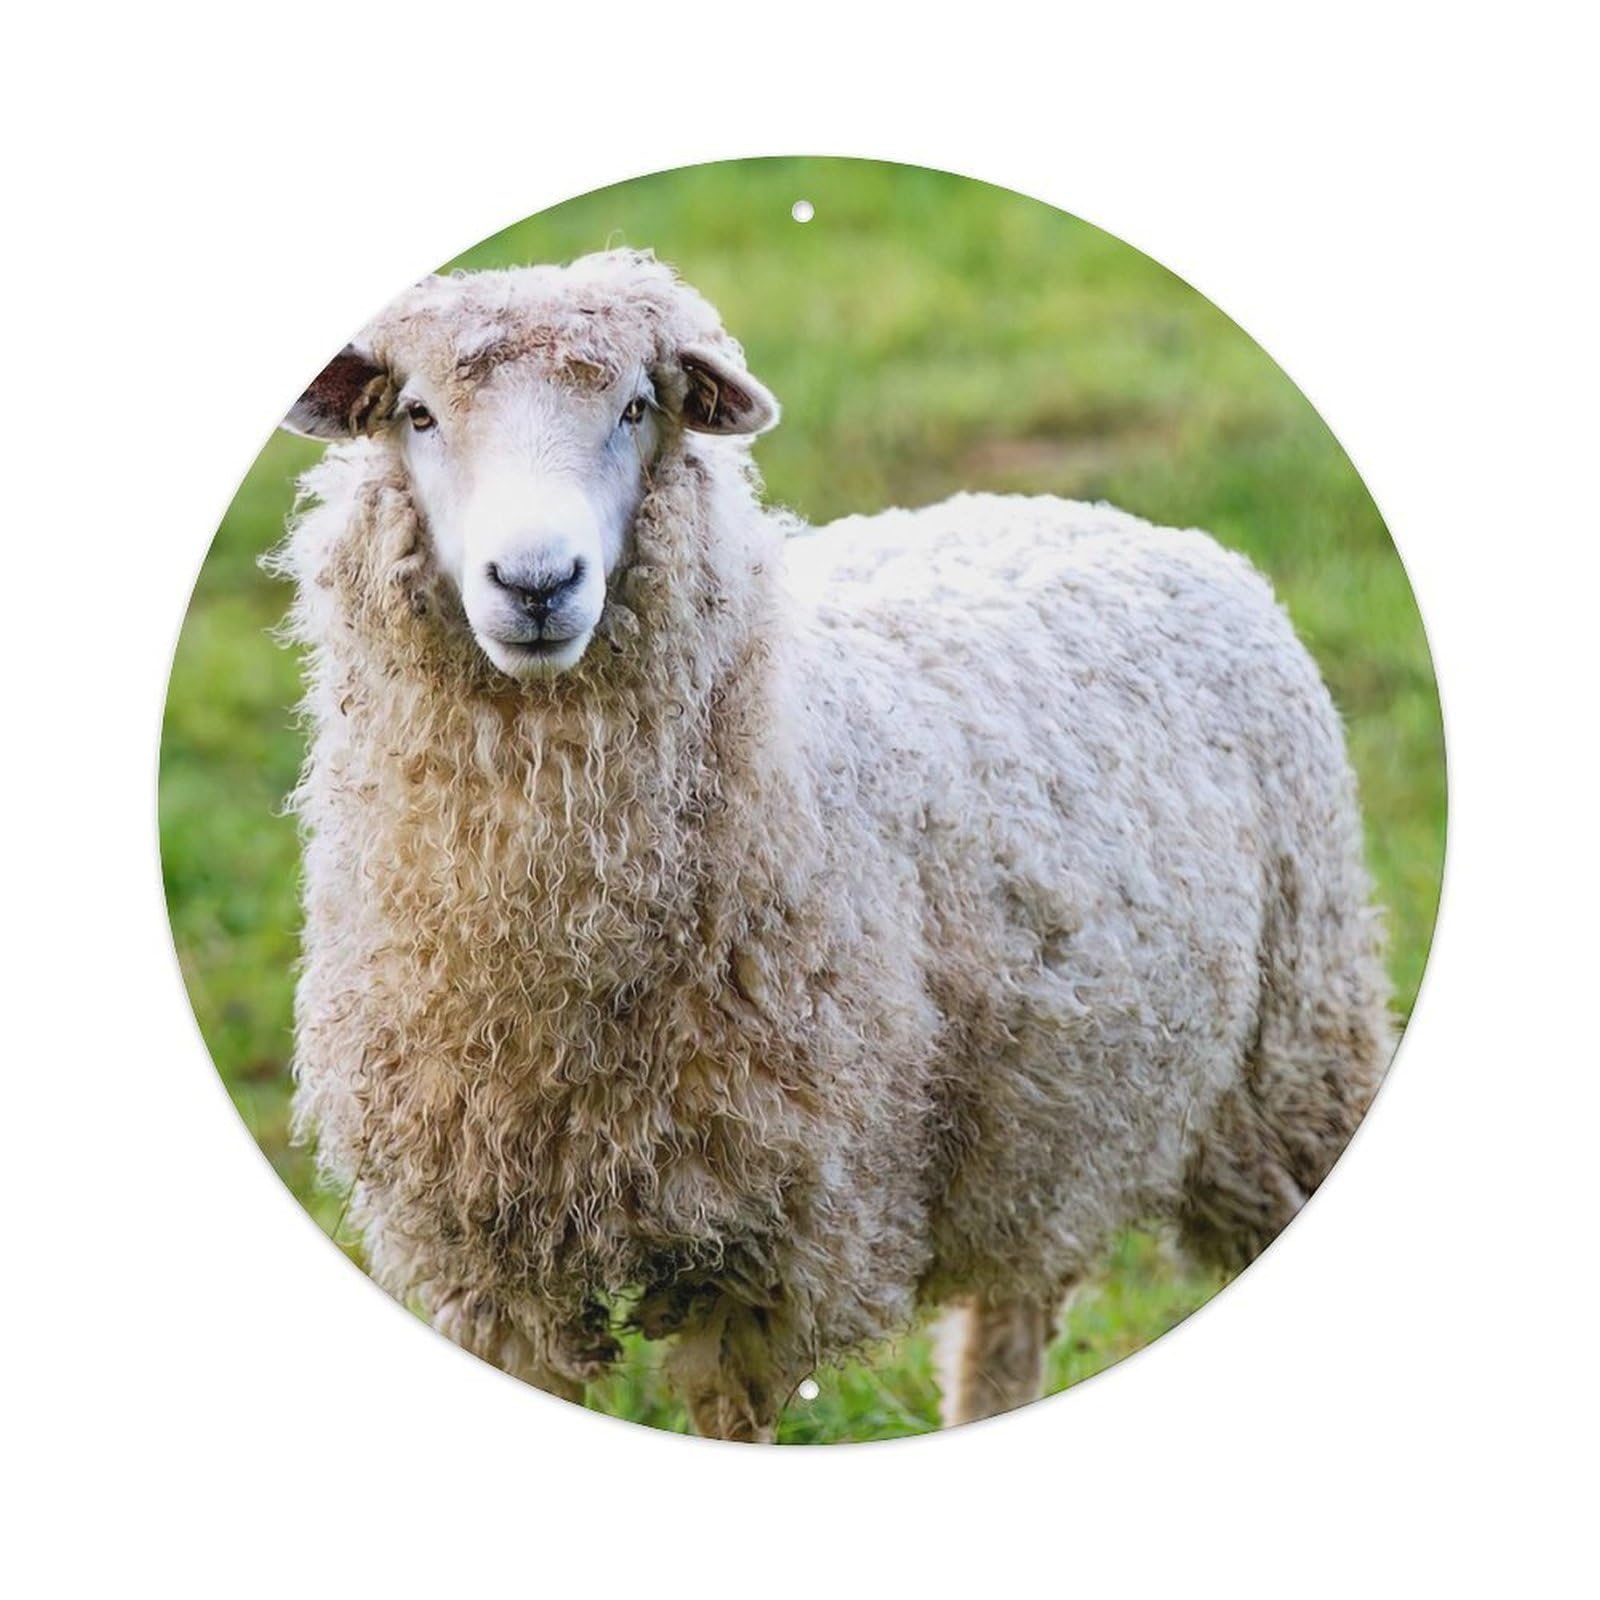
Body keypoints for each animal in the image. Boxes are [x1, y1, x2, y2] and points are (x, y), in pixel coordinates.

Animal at [273, 248, 1392, 1440]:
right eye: (420, 414)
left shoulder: (771, 1249)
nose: (537, 584)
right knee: (1011, 1311)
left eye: (636, 407)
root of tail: (1109, 515)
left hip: (1289, 1062)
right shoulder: (485, 1261)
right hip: (1046, 1108)